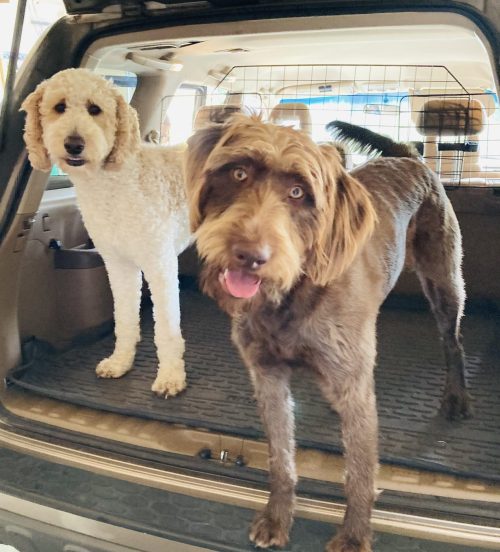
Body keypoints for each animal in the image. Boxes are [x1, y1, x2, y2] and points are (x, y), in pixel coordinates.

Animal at [21, 69, 191, 396]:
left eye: (95, 109)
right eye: (59, 107)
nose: (74, 144)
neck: (114, 182)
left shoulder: (161, 266)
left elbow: (166, 328)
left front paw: (170, 376)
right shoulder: (119, 265)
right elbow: (123, 318)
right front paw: (120, 361)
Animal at [183, 116, 468, 552]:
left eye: (299, 192)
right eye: (238, 173)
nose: (250, 255)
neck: (291, 294)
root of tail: (407, 156)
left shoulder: (354, 388)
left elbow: (360, 473)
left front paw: (353, 535)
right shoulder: (268, 378)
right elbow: (281, 459)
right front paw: (277, 517)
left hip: (444, 281)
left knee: (452, 343)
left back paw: (456, 397)